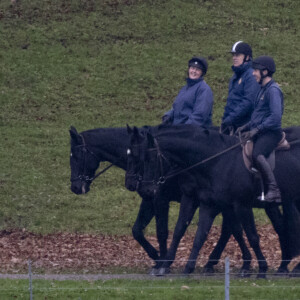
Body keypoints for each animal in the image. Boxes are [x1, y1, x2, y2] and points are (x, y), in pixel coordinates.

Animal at [125, 124, 300, 276]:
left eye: (148, 159)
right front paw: (181, 266)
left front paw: (260, 268)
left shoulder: (240, 205)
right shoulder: (207, 203)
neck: (217, 160)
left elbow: (251, 236)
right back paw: (287, 266)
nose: (145, 189)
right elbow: (196, 233)